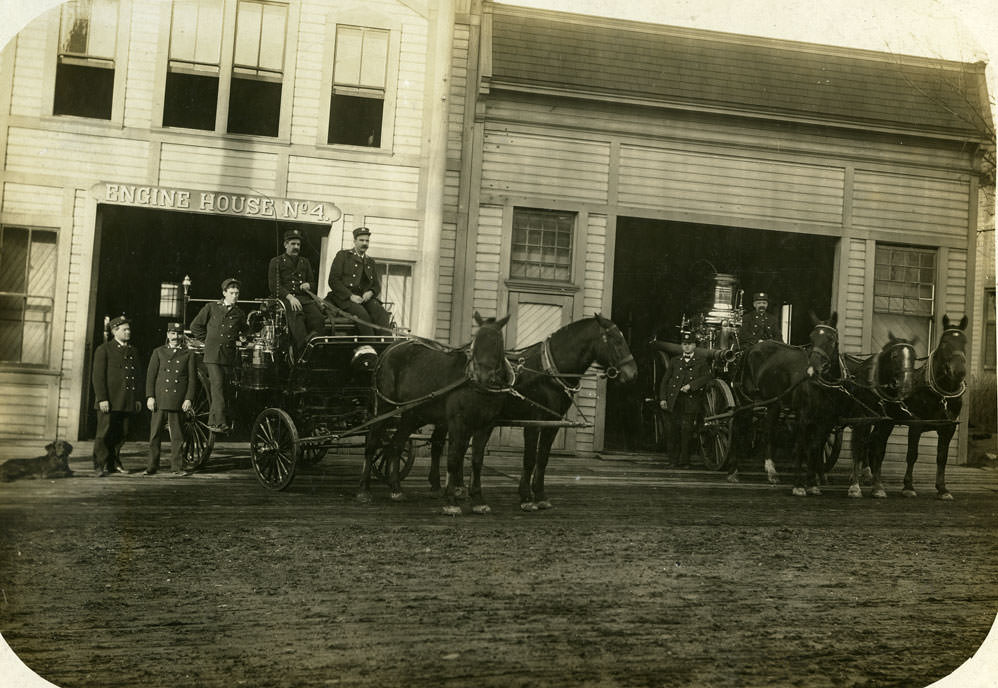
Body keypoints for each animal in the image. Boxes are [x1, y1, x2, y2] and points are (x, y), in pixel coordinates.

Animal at [360, 312, 512, 510]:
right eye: (476, 342)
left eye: (497, 342)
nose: (484, 377)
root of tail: (389, 349)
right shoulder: (457, 421)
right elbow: (454, 457)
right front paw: (451, 499)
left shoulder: (487, 424)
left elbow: (477, 459)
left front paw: (478, 499)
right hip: (385, 406)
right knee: (372, 441)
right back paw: (364, 489)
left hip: (412, 413)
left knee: (396, 445)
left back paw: (396, 489)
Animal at [426, 316, 636, 510]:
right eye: (615, 339)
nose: (632, 373)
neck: (547, 373)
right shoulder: (533, 421)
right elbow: (529, 458)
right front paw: (526, 497)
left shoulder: (552, 422)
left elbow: (542, 458)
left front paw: (540, 495)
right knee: (439, 445)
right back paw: (437, 486)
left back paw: (457, 488)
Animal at [728, 314, 844, 486]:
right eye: (811, 337)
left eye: (830, 338)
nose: (813, 369)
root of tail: (750, 348)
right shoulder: (804, 413)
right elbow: (804, 443)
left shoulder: (828, 418)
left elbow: (819, 444)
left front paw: (819, 475)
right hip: (753, 401)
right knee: (748, 428)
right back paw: (755, 469)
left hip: (769, 403)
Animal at [852, 314, 968, 498]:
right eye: (944, 342)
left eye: (965, 342)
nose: (958, 371)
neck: (942, 394)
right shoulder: (916, 425)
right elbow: (912, 454)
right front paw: (908, 487)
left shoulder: (948, 428)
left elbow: (942, 457)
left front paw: (942, 489)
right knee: (867, 442)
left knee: (872, 442)